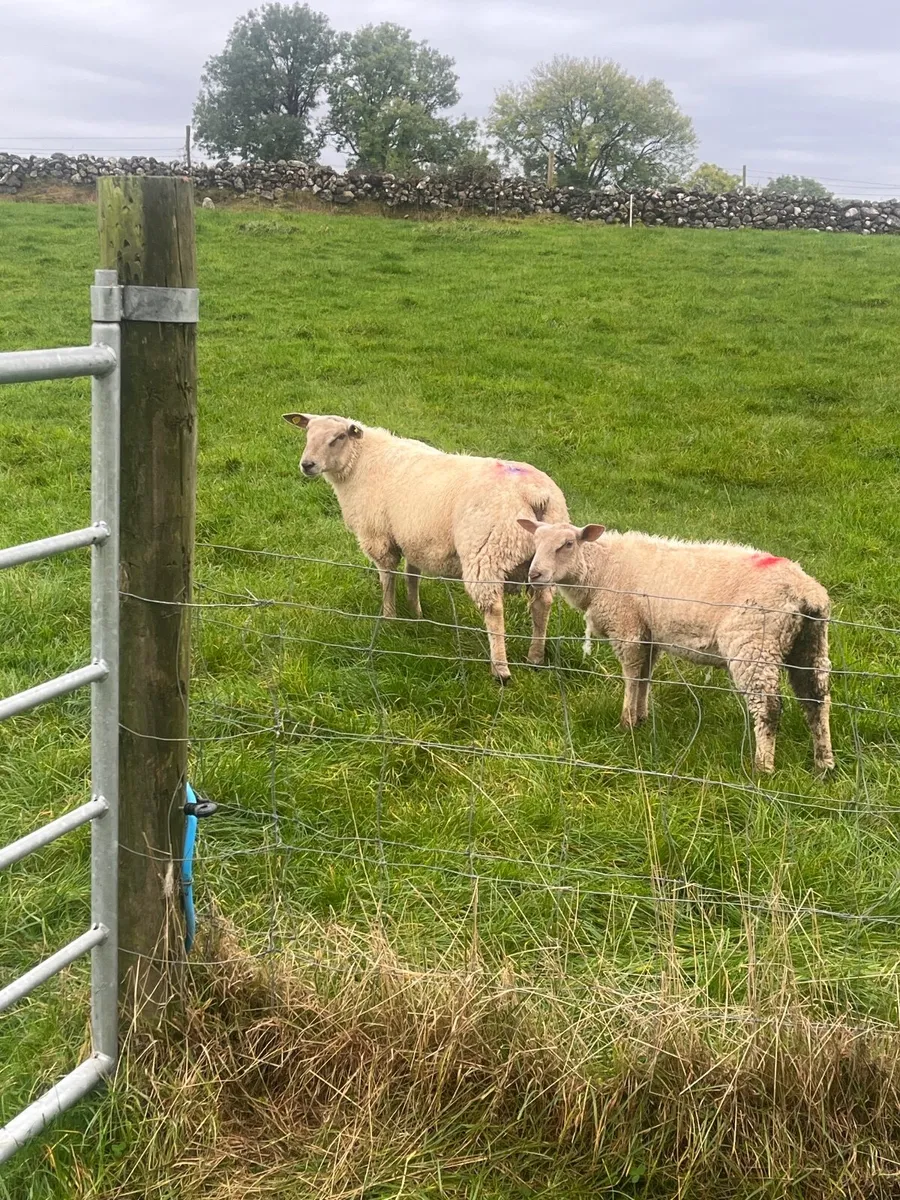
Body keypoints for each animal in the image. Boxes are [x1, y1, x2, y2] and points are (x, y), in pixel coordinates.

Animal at [283, 413, 569, 682]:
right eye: (308, 433)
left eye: (339, 437)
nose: (307, 465)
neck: (361, 464)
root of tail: (536, 495)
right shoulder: (414, 539)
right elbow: (412, 576)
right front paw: (416, 614)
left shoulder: (379, 537)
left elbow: (387, 578)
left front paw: (389, 618)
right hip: (546, 557)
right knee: (542, 604)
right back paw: (535, 657)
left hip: (487, 552)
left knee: (494, 609)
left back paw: (500, 670)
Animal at [518, 519, 835, 773]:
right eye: (535, 541)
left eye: (568, 544)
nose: (534, 575)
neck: (602, 570)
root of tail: (806, 593)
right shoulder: (649, 634)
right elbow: (644, 677)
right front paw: (641, 718)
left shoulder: (627, 628)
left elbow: (631, 676)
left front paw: (626, 723)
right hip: (810, 644)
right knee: (817, 700)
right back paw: (824, 763)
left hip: (754, 644)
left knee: (768, 707)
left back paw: (763, 767)